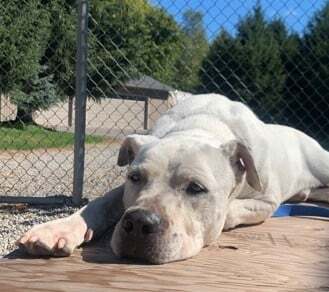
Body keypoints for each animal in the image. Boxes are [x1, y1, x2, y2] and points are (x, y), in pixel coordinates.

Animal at [16, 94, 328, 264]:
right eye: (135, 177)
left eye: (197, 188)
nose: (138, 222)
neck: (202, 126)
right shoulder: (123, 190)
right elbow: (100, 204)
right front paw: (58, 229)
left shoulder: (267, 200)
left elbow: (231, 210)